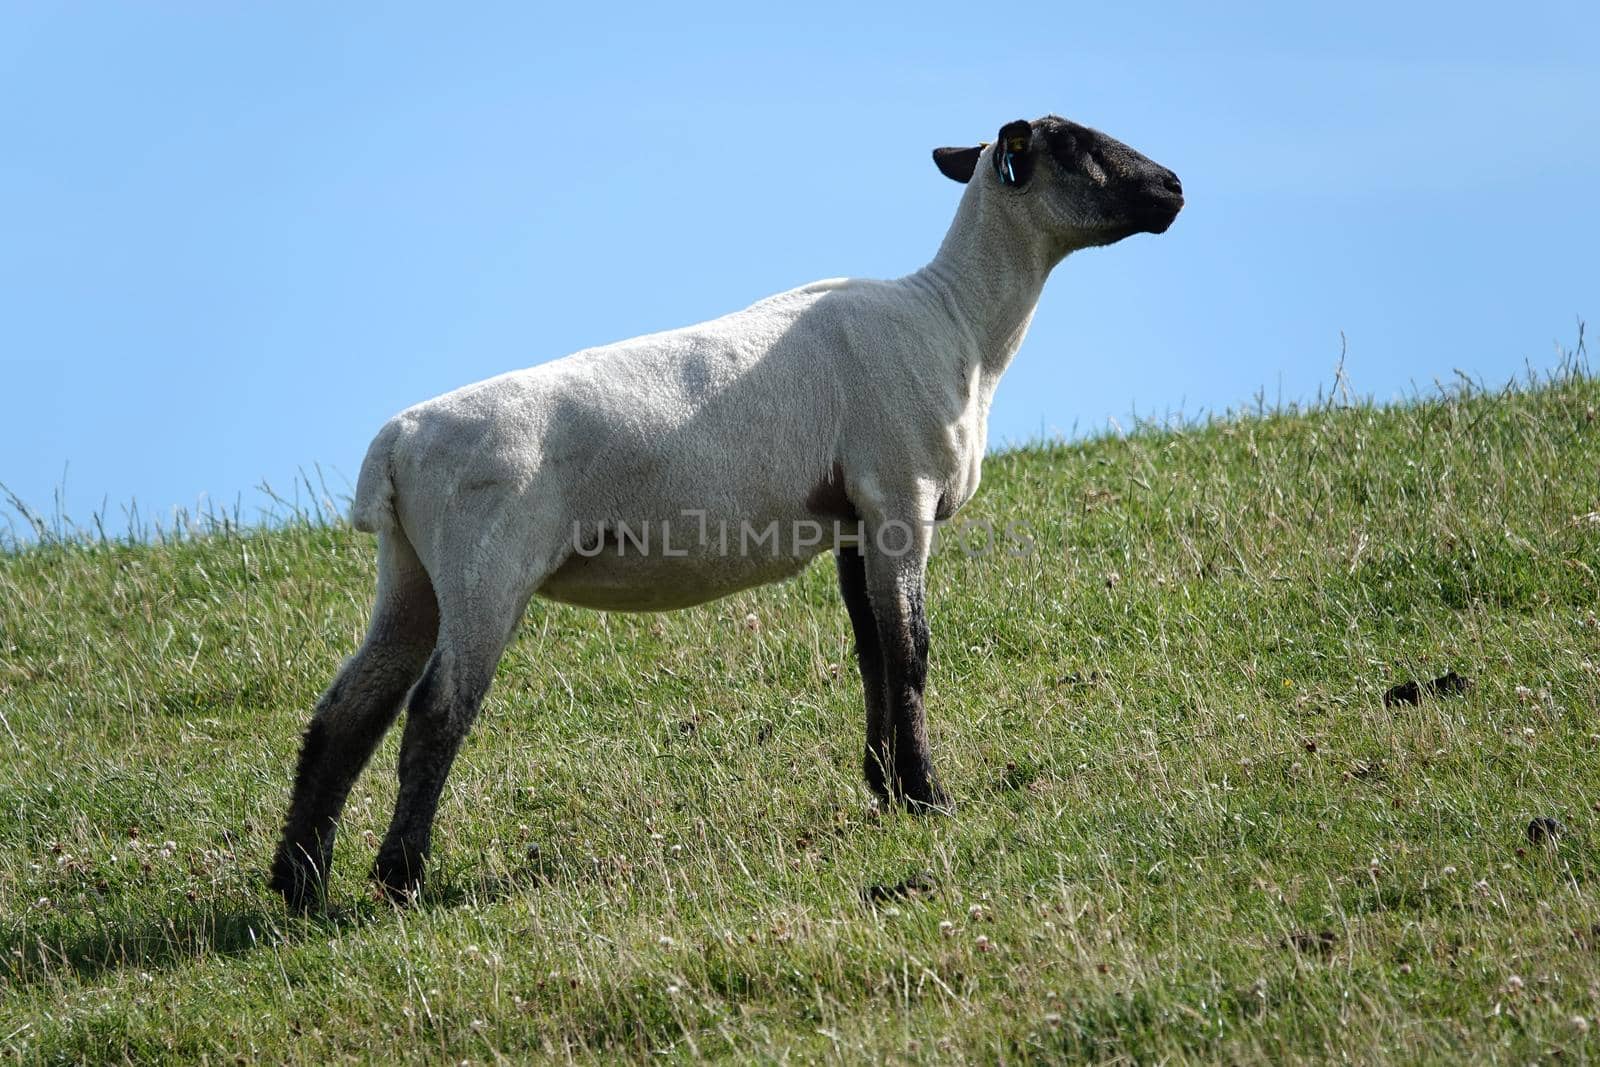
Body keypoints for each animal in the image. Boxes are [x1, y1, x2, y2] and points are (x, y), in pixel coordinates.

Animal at [268, 112, 1184, 908]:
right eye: (1075, 143)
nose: (1175, 186)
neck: (956, 319)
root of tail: (396, 443)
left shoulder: (854, 518)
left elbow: (871, 651)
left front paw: (887, 787)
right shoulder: (901, 496)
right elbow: (911, 651)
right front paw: (928, 796)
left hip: (412, 573)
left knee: (347, 711)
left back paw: (297, 886)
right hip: (485, 566)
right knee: (435, 711)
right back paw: (399, 878)